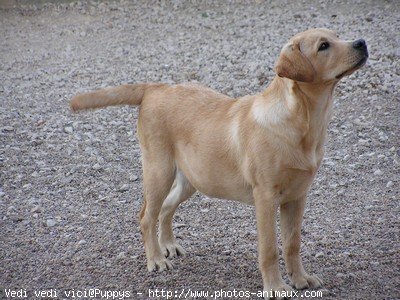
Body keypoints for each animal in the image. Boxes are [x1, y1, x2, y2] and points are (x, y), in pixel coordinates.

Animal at [70, 27, 368, 298]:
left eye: (337, 36)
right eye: (323, 46)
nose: (362, 42)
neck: (303, 120)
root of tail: (156, 87)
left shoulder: (297, 197)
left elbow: (292, 244)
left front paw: (300, 279)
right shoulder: (265, 198)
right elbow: (270, 249)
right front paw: (275, 287)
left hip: (191, 179)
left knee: (165, 209)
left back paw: (168, 245)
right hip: (159, 172)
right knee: (146, 216)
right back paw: (155, 259)